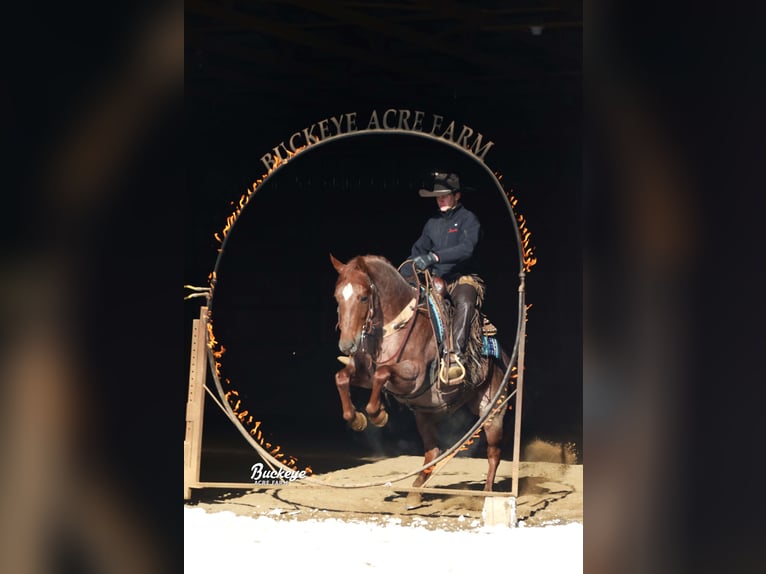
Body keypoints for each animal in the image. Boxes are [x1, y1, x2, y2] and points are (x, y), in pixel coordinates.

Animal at [328, 253, 510, 508]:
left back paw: (487, 495)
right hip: (425, 414)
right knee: (433, 452)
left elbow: (383, 374)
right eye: (337, 297)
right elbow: (342, 378)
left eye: (363, 297)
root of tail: (502, 354)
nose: (347, 345)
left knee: (493, 454)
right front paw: (356, 419)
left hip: (493, 410)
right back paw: (414, 493)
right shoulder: (364, 375)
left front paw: (378, 414)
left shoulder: (412, 376)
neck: (395, 326)